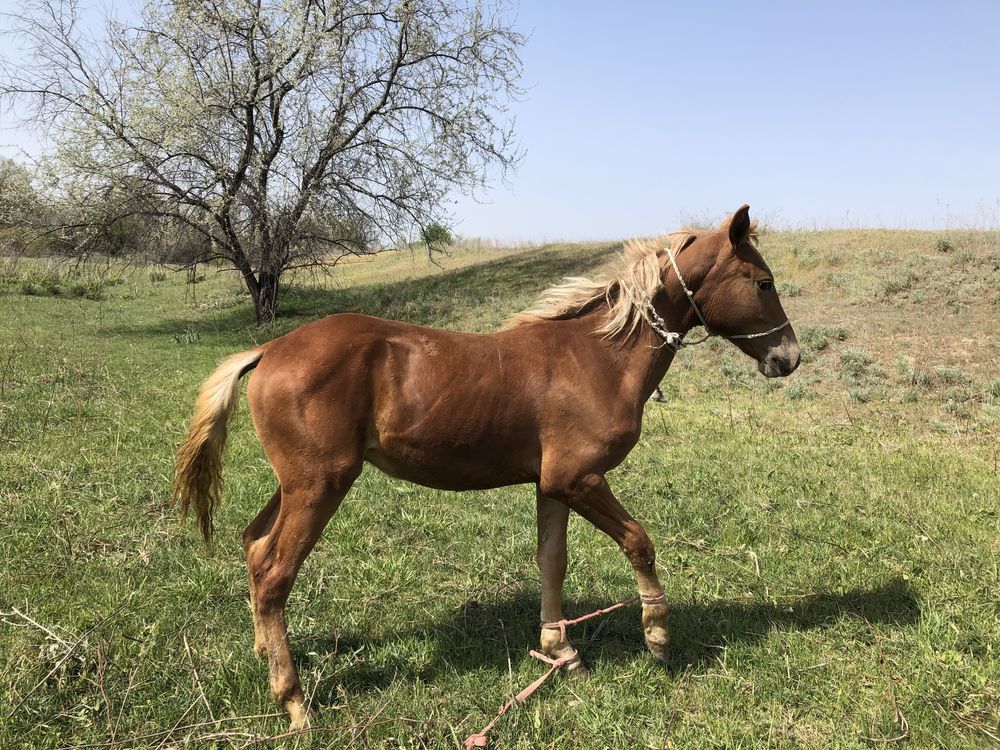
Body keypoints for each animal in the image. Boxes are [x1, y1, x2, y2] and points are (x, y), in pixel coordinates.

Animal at [172, 204, 796, 728]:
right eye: (763, 282)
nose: (787, 357)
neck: (598, 356)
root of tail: (268, 351)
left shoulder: (552, 485)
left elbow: (552, 560)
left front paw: (561, 650)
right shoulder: (579, 479)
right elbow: (639, 541)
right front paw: (658, 636)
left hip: (297, 483)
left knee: (255, 547)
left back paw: (265, 651)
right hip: (320, 486)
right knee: (276, 571)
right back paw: (295, 701)